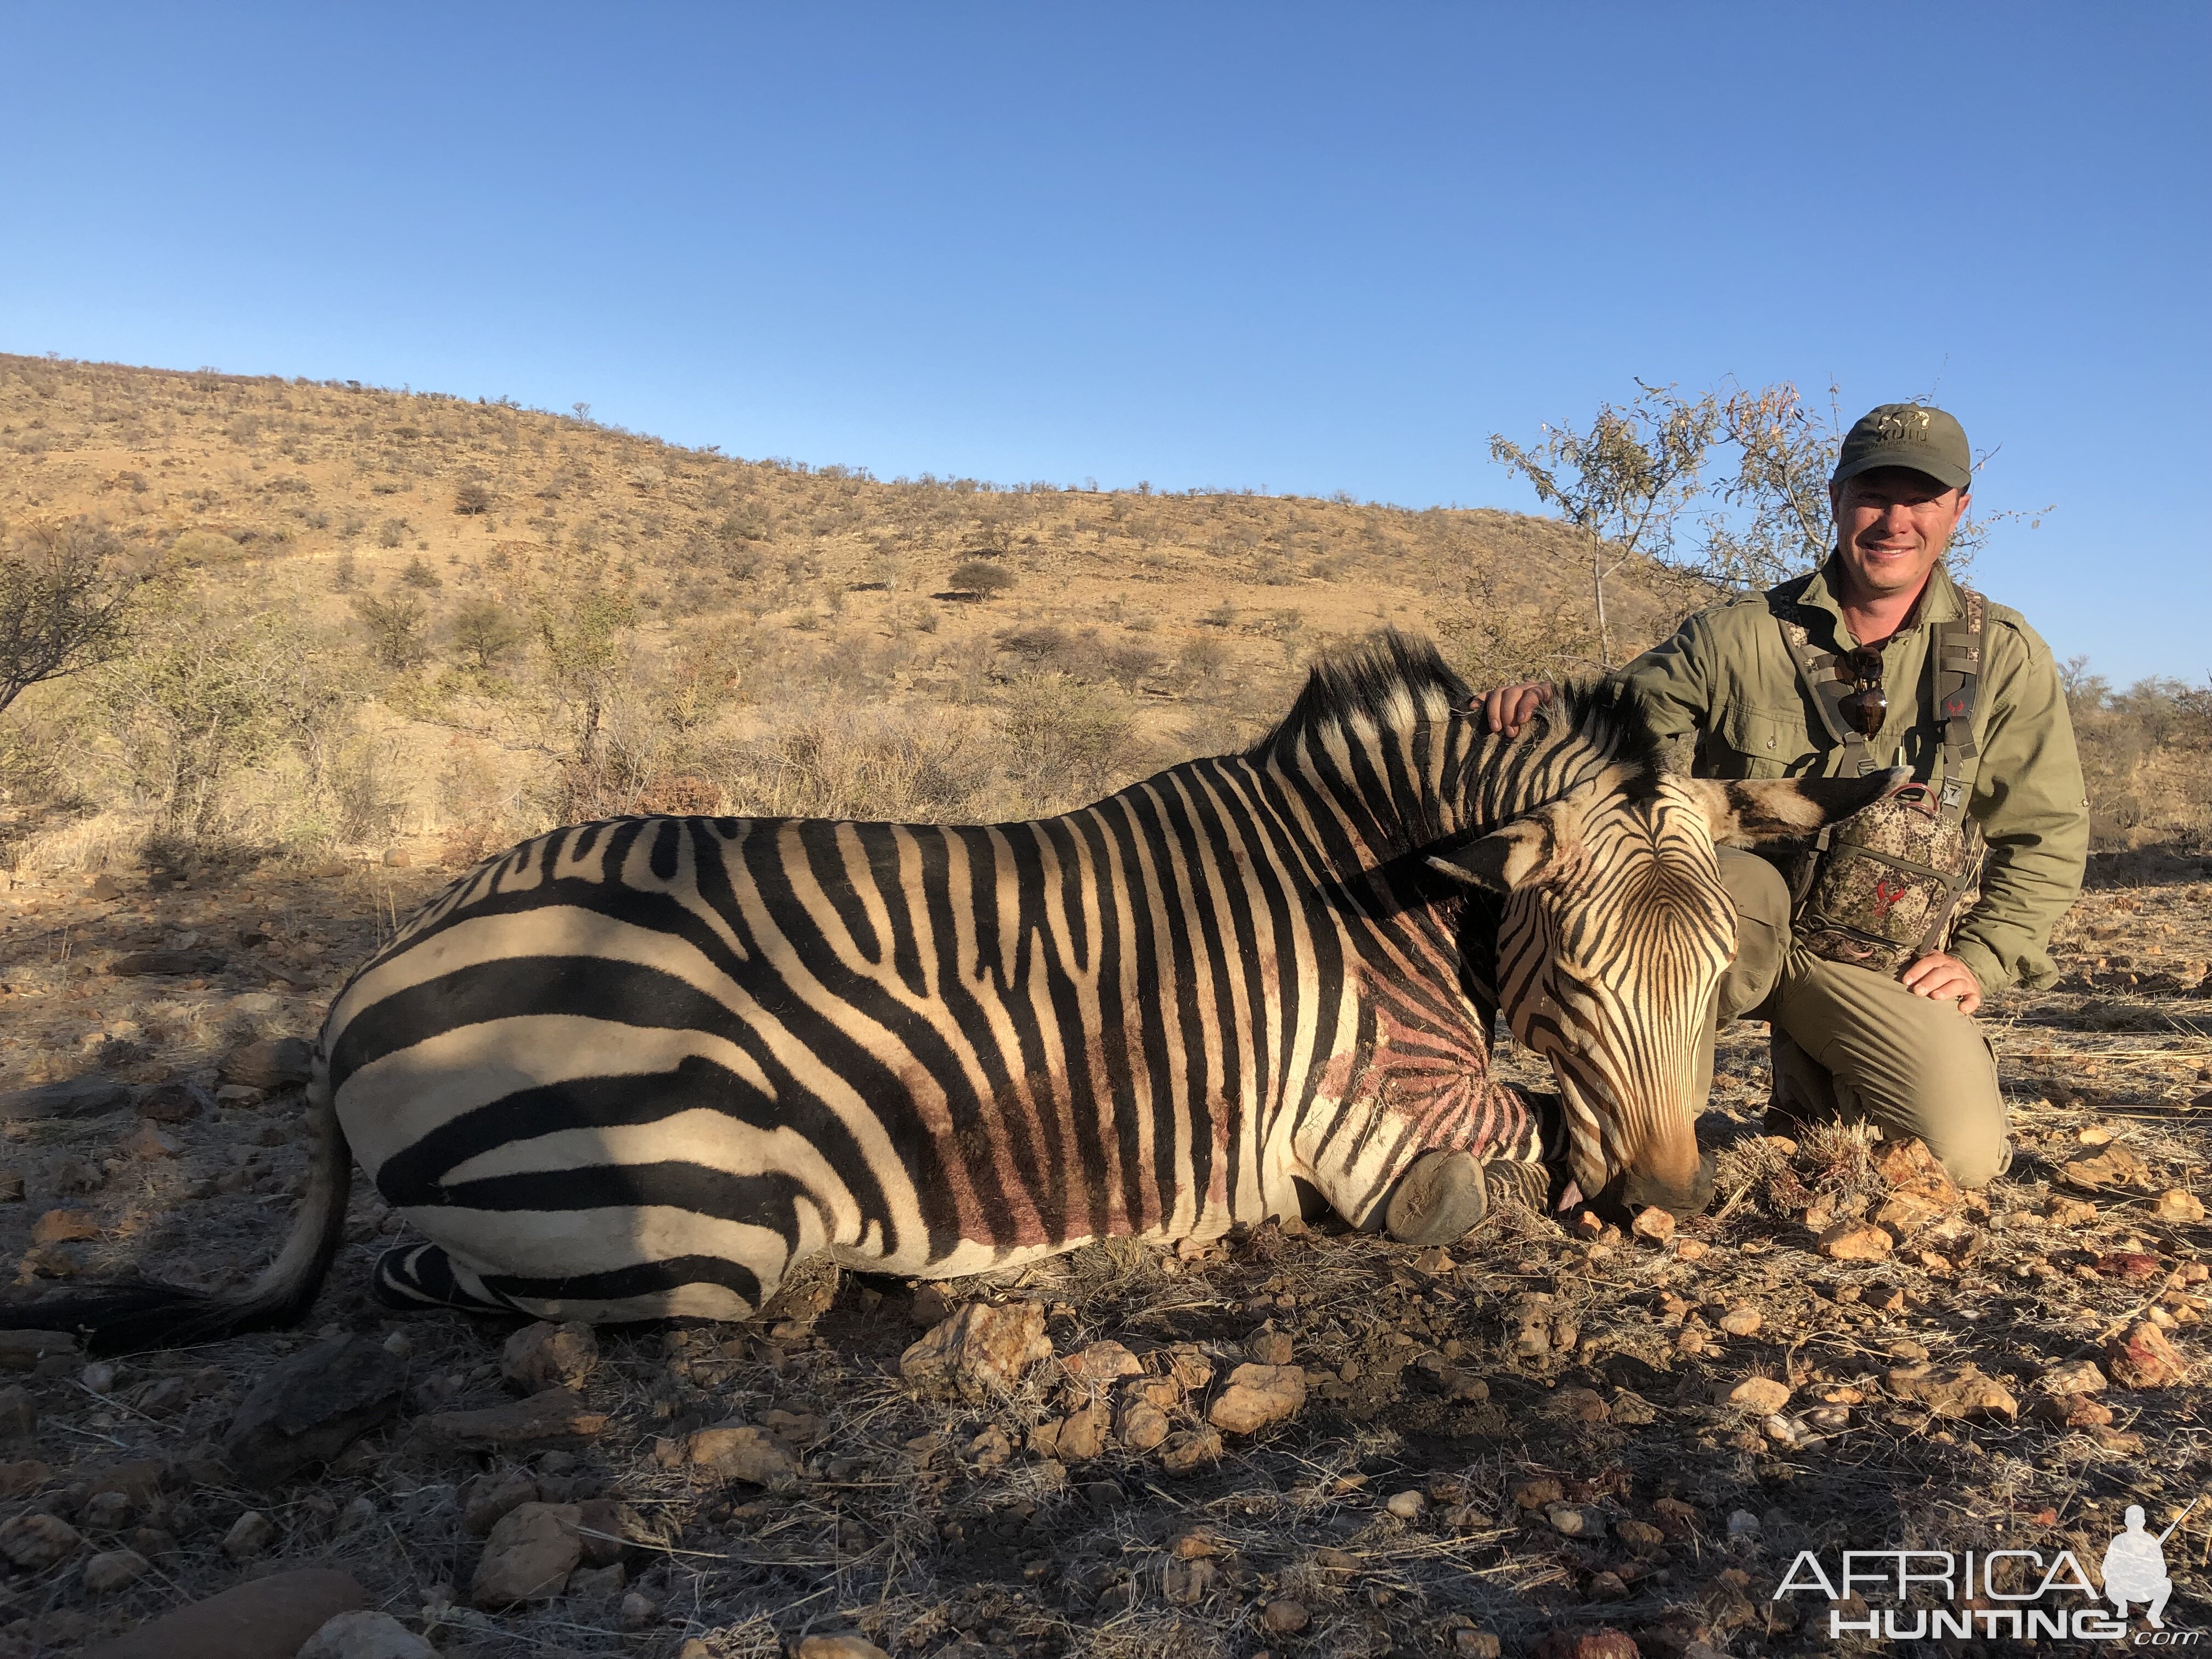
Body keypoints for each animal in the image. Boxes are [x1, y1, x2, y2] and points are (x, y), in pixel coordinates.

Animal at [8, 637, 1893, 1353]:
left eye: (1723, 976)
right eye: (1570, 964)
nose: (1669, 1203)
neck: (1387, 883)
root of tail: (358, 985)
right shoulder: (1383, 1133)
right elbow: (1508, 1169)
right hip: (678, 1208)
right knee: (468, 1285)